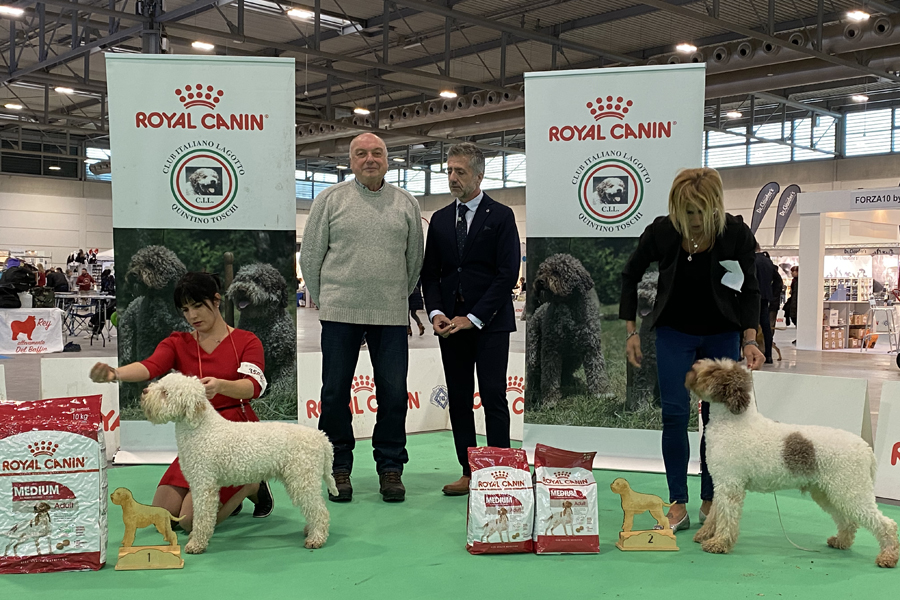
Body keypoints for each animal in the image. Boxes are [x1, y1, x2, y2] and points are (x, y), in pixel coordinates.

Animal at [141, 372, 338, 554]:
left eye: (165, 393)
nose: (144, 393)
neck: (202, 429)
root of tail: (321, 438)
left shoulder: (203, 485)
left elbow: (201, 516)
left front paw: (196, 544)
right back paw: (310, 530)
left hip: (303, 479)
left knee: (319, 510)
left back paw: (316, 538)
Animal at [225, 263, 296, 420]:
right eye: (241, 278)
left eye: (258, 280)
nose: (241, 289)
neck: (261, 323)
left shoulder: (285, 361)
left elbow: (282, 385)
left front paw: (277, 400)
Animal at [526, 253, 607, 409]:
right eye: (541, 271)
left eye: (556, 272)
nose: (539, 281)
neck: (567, 305)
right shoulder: (551, 351)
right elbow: (550, 378)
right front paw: (549, 400)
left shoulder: (591, 348)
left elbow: (597, 372)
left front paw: (601, 394)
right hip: (534, 354)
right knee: (534, 376)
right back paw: (533, 393)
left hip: (575, 358)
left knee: (565, 373)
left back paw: (572, 381)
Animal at [687, 359, 899, 568]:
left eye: (713, 372)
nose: (692, 368)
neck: (734, 422)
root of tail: (866, 448)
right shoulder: (722, 483)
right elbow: (715, 513)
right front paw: (705, 534)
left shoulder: (730, 486)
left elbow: (726, 517)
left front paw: (718, 543)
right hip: (828, 493)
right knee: (848, 521)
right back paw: (841, 541)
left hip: (851, 491)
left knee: (886, 523)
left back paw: (888, 556)